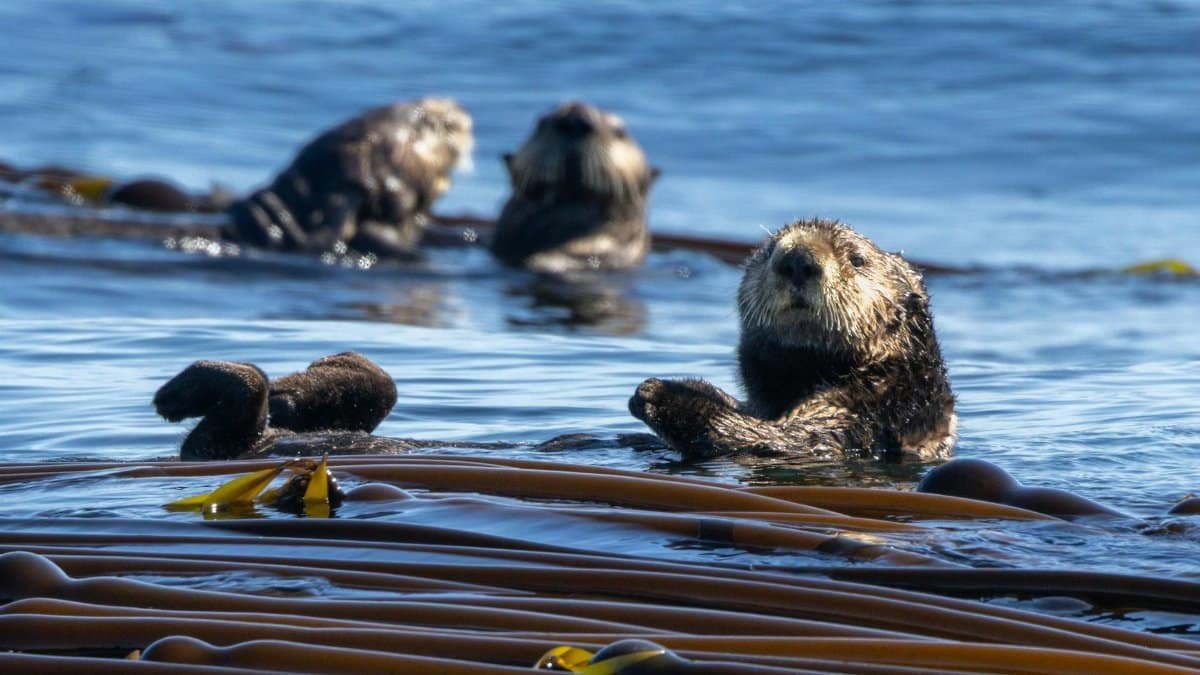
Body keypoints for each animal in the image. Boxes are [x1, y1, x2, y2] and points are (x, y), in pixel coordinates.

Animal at [628, 218, 956, 460]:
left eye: (857, 259)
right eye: (768, 251)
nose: (797, 259)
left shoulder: (863, 414)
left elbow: (780, 440)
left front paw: (657, 393)